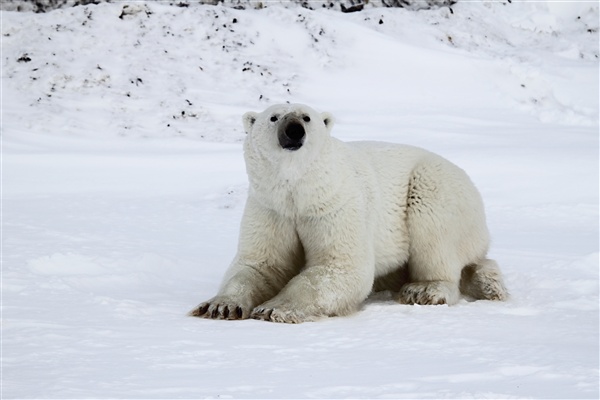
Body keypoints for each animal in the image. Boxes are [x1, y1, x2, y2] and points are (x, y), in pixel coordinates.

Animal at [190, 103, 508, 322]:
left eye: (307, 117)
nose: (294, 130)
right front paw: (220, 305)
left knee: (436, 234)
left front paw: (273, 308)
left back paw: (426, 289)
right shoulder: (271, 208)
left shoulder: (334, 204)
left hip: (434, 186)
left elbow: (340, 266)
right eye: (274, 117)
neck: (299, 192)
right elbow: (260, 265)